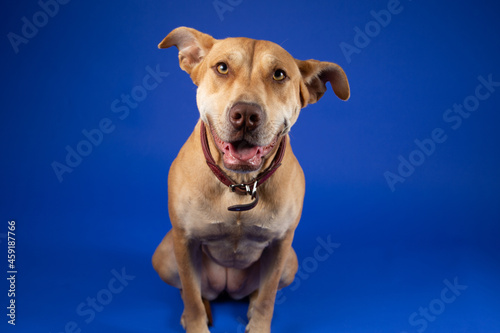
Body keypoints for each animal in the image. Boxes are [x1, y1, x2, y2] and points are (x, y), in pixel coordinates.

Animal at [150, 27, 350, 330]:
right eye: (222, 68)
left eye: (279, 74)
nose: (245, 114)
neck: (240, 184)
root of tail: (227, 287)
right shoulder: (184, 240)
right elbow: (192, 296)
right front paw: (195, 323)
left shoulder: (280, 246)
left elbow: (268, 297)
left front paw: (258, 325)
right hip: (164, 255)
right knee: (190, 290)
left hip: (290, 263)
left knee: (258, 292)